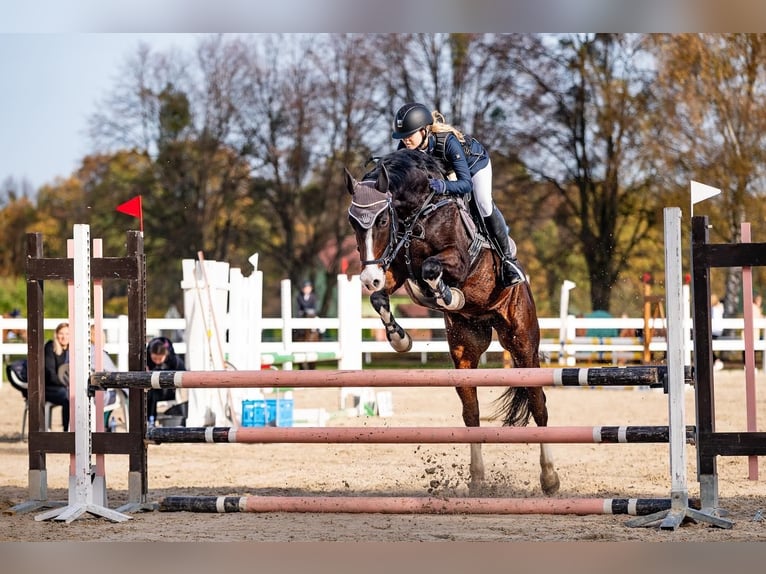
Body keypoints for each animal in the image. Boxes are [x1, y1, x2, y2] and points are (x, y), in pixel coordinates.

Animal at [344, 148, 560, 496]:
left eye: (382, 220)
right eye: (352, 222)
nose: (367, 277)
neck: (418, 213)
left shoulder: (458, 261)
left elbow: (432, 268)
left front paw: (448, 296)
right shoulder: (397, 269)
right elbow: (380, 297)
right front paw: (399, 338)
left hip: (523, 341)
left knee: (538, 403)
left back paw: (550, 478)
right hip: (465, 348)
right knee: (471, 413)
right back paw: (477, 479)